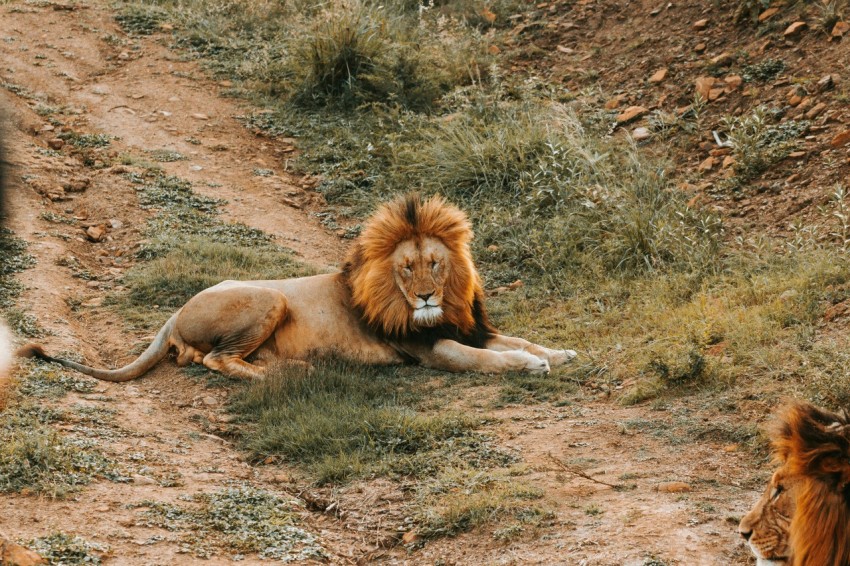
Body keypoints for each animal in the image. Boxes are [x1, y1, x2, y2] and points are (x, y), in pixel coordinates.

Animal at [20, 194, 576, 381]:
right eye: (406, 268)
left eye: (435, 264)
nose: (424, 297)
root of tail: (174, 313)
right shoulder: (430, 349)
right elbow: (486, 360)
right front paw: (531, 366)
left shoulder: (468, 327)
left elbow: (517, 339)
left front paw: (559, 352)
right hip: (271, 296)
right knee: (215, 361)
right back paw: (284, 375)